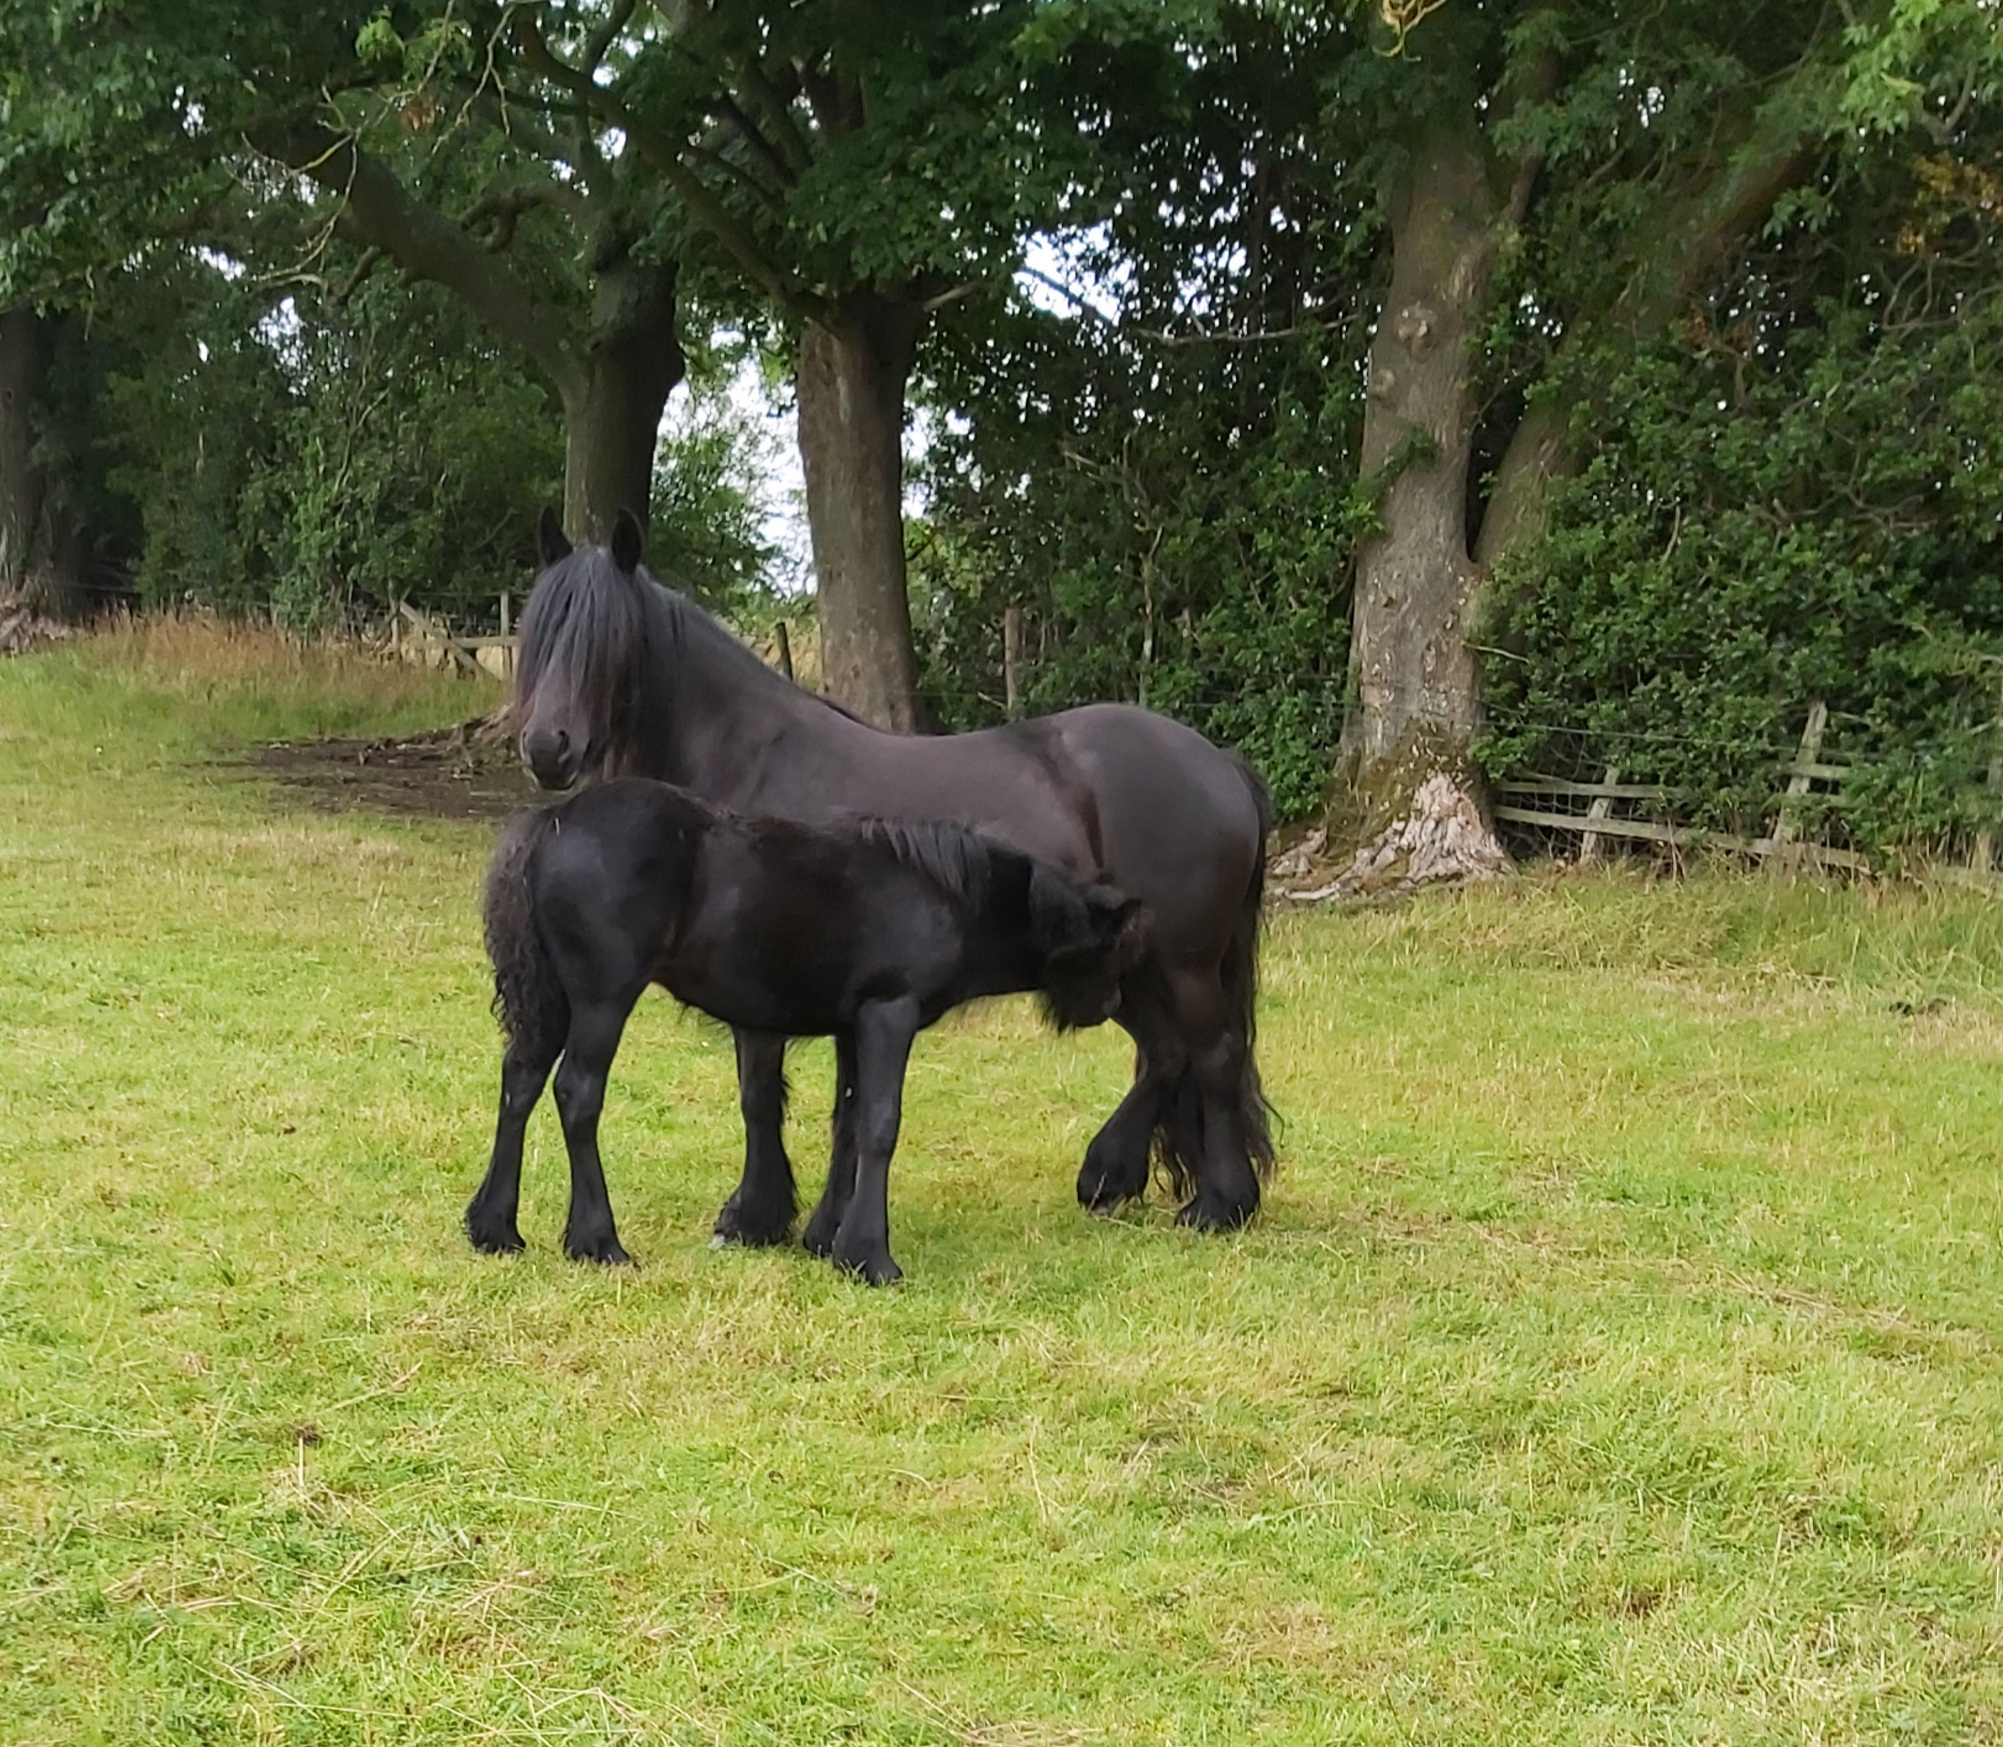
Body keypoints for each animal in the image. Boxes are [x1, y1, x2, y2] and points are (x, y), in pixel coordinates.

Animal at [458, 777, 1145, 1282]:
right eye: (1113, 948)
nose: (1108, 1002)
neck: (944, 892)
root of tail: (552, 824)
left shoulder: (852, 1026)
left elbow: (848, 1123)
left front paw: (825, 1237)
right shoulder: (889, 1014)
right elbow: (880, 1125)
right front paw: (870, 1257)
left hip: (550, 999)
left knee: (520, 1081)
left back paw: (496, 1228)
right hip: (603, 999)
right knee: (577, 1094)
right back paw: (598, 1241)